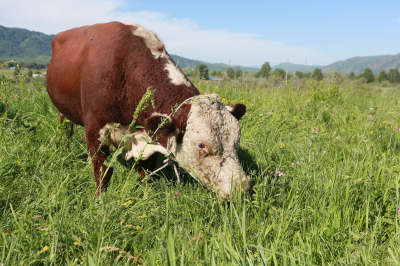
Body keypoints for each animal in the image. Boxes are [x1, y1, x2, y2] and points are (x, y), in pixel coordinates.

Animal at [47, 21, 250, 200]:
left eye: (236, 141)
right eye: (201, 145)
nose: (241, 187)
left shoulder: (149, 135)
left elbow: (147, 171)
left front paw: (146, 195)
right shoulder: (95, 128)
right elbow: (102, 172)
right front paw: (100, 200)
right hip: (61, 110)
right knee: (63, 128)